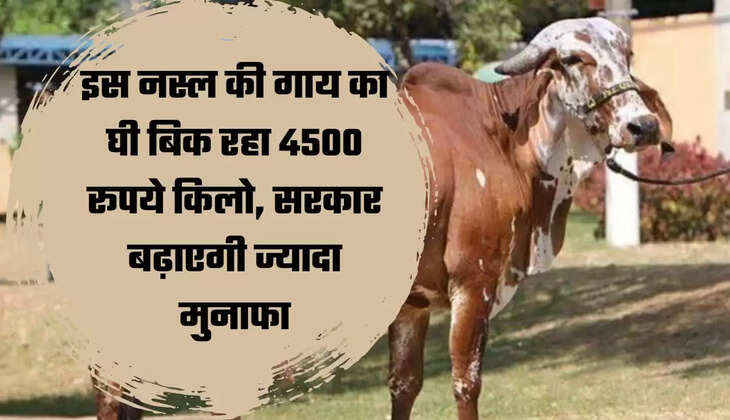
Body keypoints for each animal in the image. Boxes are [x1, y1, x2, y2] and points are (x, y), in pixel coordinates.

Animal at [388, 17, 671, 420]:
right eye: (571, 59)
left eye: (627, 53)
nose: (643, 125)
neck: (502, 138)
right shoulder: (475, 283)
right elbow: (466, 383)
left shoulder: (413, 303)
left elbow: (405, 384)